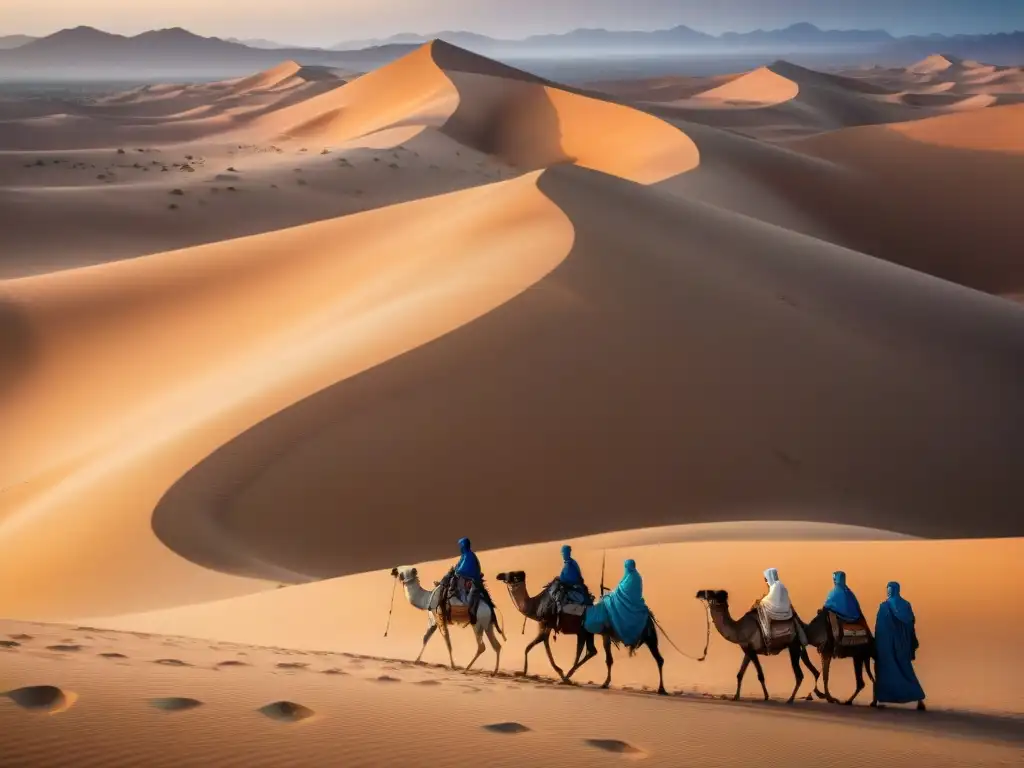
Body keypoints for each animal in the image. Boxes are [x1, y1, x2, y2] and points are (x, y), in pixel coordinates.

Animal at [499, 569, 667, 696]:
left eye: (512, 575)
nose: (499, 575)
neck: (535, 605)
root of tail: (648, 616)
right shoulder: (549, 627)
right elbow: (536, 646)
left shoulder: (546, 624)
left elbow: (535, 647)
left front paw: (526, 672)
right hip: (594, 633)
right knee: (597, 654)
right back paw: (598, 682)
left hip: (646, 635)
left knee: (658, 658)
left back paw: (661, 689)